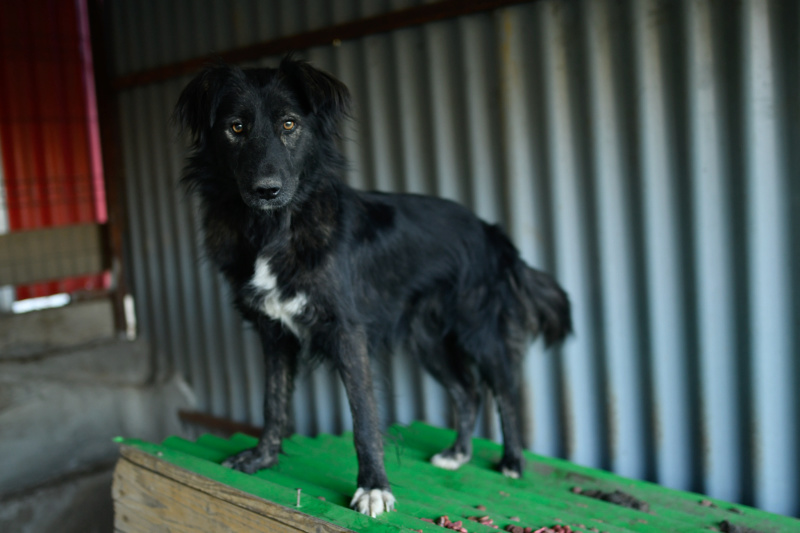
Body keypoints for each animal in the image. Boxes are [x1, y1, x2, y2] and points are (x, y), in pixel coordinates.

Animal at [178, 57, 572, 516]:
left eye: (289, 124)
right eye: (236, 128)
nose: (267, 189)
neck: (274, 228)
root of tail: (491, 231)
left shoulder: (347, 331)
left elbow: (363, 415)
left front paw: (373, 487)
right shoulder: (273, 331)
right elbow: (273, 402)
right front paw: (262, 458)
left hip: (479, 331)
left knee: (504, 390)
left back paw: (511, 461)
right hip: (428, 340)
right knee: (467, 391)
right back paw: (458, 453)